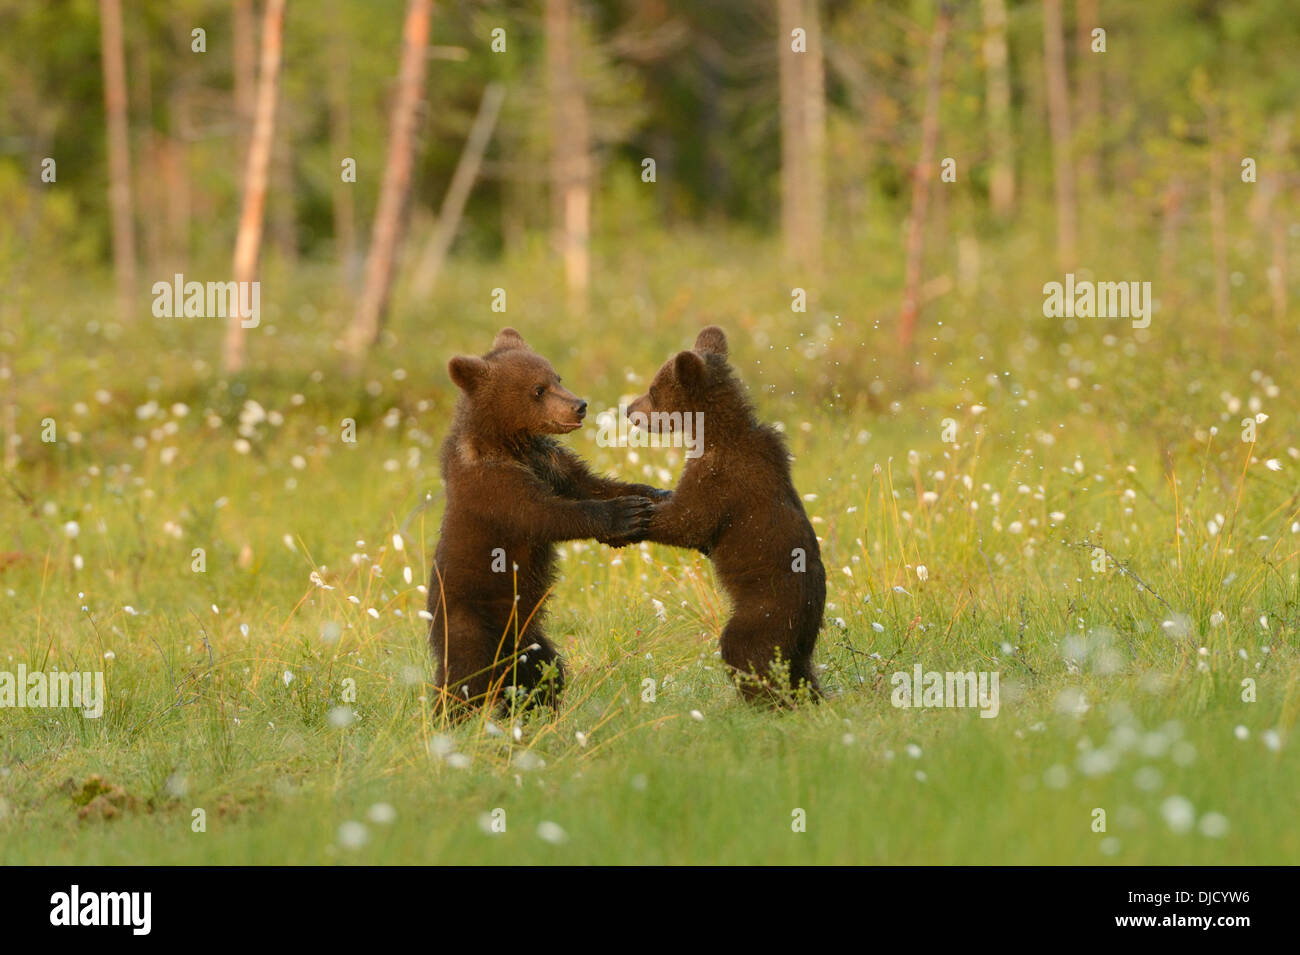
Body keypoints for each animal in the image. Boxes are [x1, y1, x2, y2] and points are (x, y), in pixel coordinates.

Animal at [428, 327, 664, 715]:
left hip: (527, 637)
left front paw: (651, 494)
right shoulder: (490, 484)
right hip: (466, 617)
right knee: (466, 677)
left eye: (557, 378)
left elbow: (588, 482)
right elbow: (543, 514)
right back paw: (452, 717)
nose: (579, 405)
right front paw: (623, 514)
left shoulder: (548, 460)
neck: (510, 443)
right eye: (537, 389)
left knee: (544, 668)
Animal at [626, 326, 825, 702]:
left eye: (653, 390)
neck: (713, 433)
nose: (629, 409)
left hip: (764, 611)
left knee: (744, 650)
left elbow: (687, 521)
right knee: (801, 672)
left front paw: (637, 516)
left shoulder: (719, 478)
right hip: (800, 639)